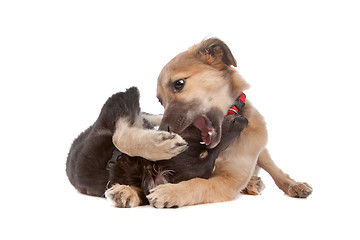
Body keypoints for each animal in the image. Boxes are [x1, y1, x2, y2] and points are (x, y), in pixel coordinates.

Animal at [146, 38, 312, 207]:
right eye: (160, 100)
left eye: (179, 83)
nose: (161, 130)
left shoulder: (231, 178)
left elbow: (198, 183)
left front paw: (171, 191)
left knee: (275, 169)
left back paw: (293, 185)